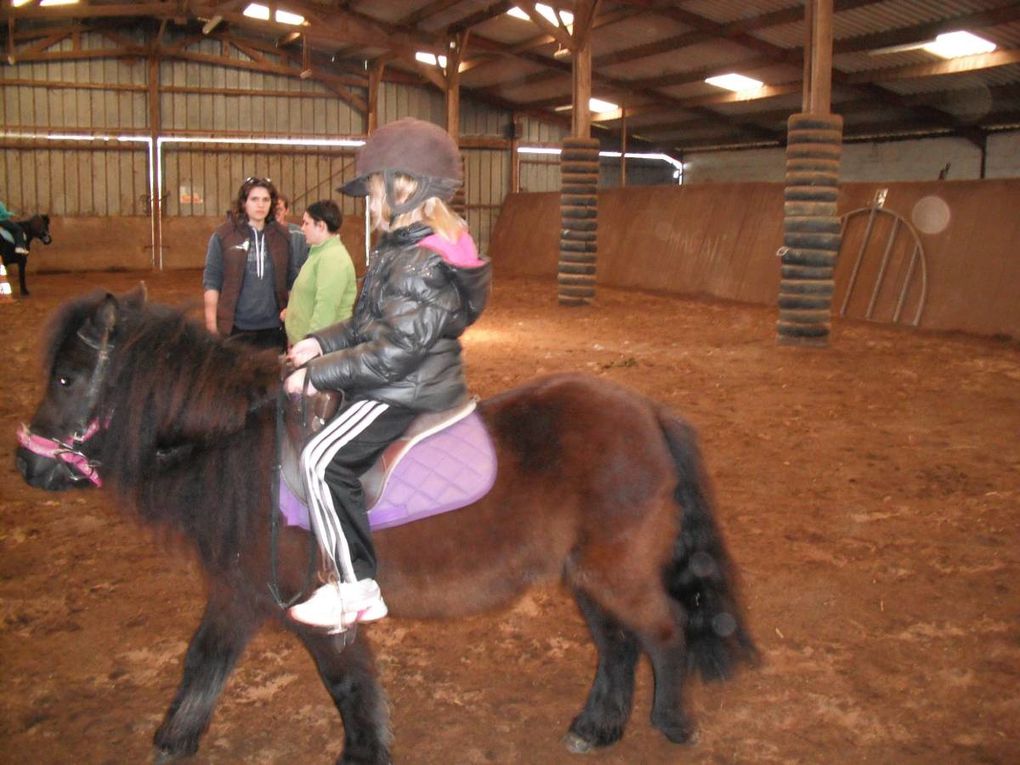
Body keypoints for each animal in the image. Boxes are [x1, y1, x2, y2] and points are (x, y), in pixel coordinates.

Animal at [15, 289, 758, 765]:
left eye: (68, 377)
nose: (26, 462)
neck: (246, 451)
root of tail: (649, 411)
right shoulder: (238, 593)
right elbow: (204, 663)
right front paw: (173, 741)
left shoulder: (316, 611)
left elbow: (347, 687)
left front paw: (364, 751)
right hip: (584, 573)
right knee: (617, 645)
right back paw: (596, 726)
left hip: (617, 568)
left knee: (662, 633)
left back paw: (672, 723)